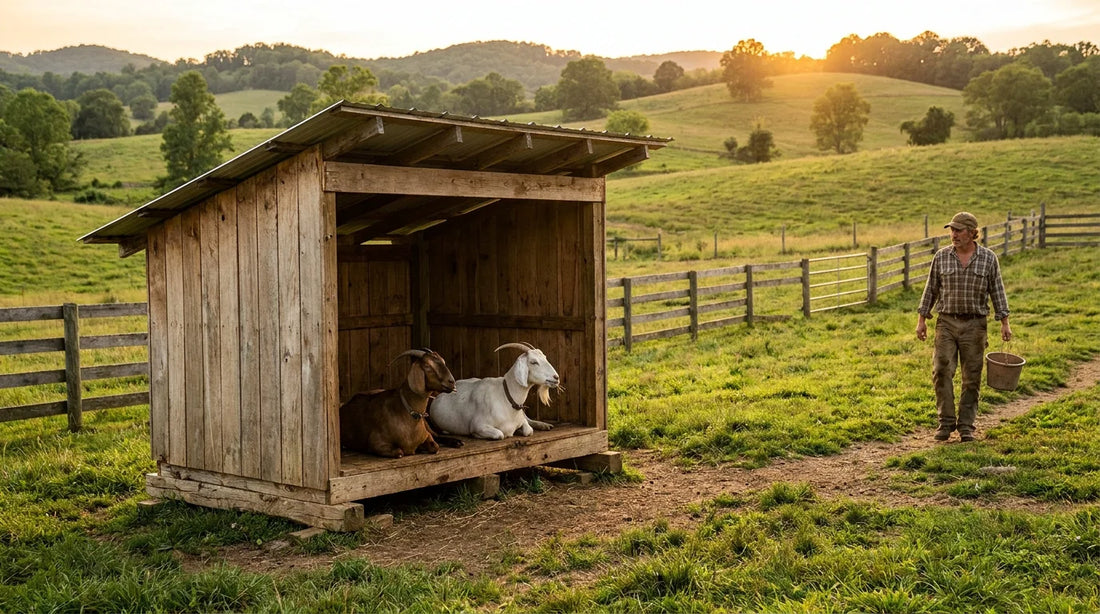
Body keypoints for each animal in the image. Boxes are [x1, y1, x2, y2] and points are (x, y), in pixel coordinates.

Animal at [428, 342, 559, 440]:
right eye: (533, 362)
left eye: (545, 358)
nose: (556, 377)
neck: (506, 396)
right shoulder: (478, 426)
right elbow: (500, 434)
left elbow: (528, 430)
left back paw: (545, 425)